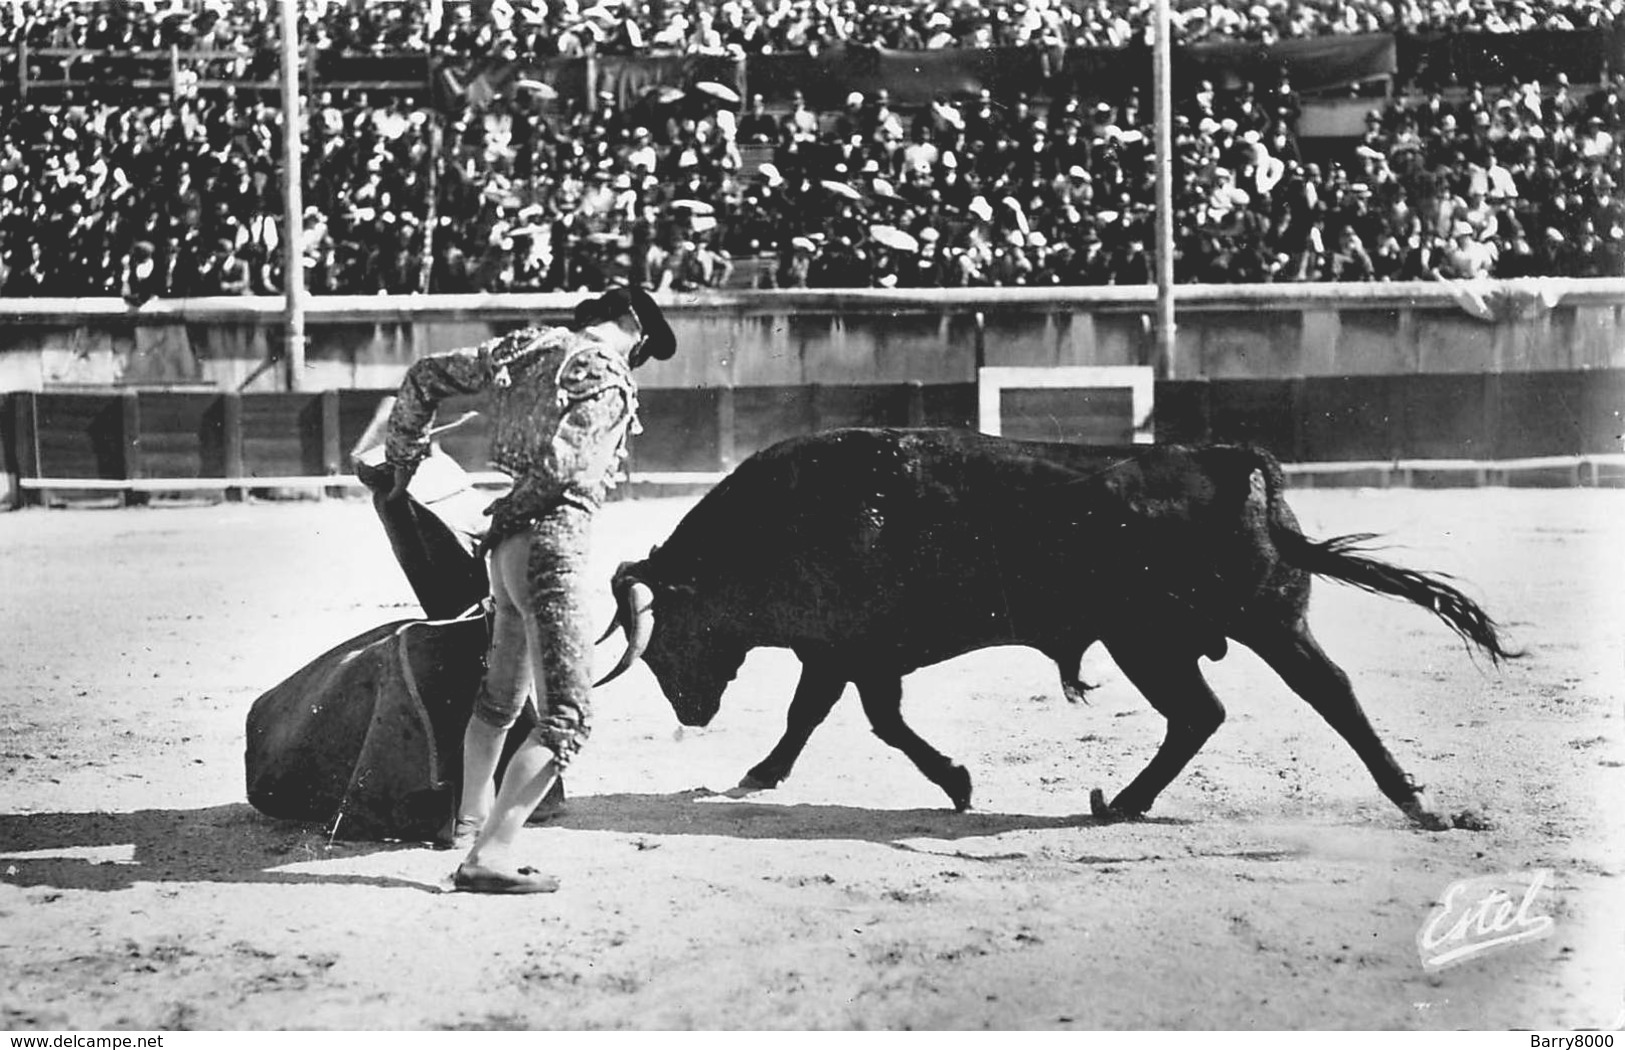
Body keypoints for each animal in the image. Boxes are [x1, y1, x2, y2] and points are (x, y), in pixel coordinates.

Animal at [601, 429, 1521, 832]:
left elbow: (862, 719)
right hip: (1240, 627)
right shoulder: (844, 653)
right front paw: (760, 775)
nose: (688, 713)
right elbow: (825, 716)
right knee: (1269, 702)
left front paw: (954, 783)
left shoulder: (851, 650)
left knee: (1240, 708)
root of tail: (1231, 461)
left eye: (669, 629)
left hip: (1160, 640)